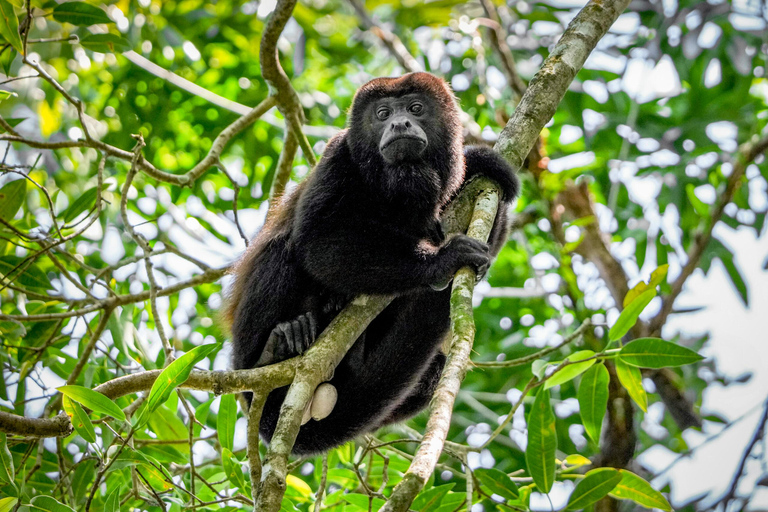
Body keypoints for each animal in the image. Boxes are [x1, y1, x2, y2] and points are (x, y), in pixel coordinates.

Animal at [225, 73, 520, 456]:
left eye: (415, 108)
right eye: (382, 114)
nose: (399, 123)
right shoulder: (338, 156)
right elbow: (317, 241)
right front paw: (440, 261)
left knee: (435, 367)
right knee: (282, 251)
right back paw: (276, 347)